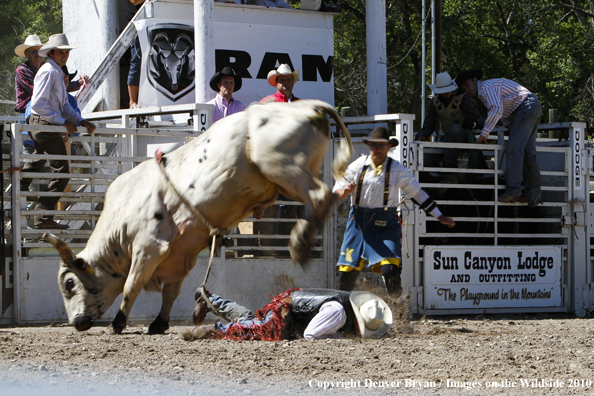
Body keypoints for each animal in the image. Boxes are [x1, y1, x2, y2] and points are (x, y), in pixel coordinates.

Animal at [46, 101, 354, 334]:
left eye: (70, 284)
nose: (76, 322)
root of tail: (307, 105)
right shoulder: (180, 252)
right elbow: (171, 291)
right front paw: (159, 323)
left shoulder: (148, 247)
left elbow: (131, 285)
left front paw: (118, 323)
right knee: (322, 197)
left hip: (280, 166)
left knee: (319, 195)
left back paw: (299, 243)